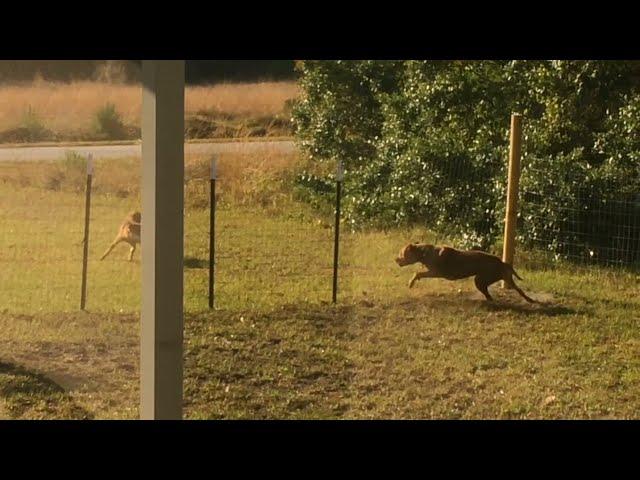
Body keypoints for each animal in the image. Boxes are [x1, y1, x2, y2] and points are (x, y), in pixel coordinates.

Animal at [396, 244, 536, 304]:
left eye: (402, 253)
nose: (395, 259)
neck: (424, 252)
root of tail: (502, 262)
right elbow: (419, 272)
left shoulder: (436, 272)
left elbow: (418, 273)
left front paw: (411, 283)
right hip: (501, 278)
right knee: (516, 289)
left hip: (480, 279)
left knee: (490, 293)